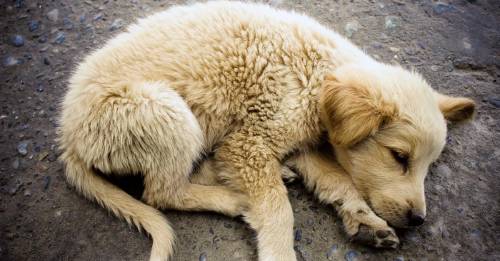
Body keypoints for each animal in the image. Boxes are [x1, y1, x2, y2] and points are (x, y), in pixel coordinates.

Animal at [56, 1, 474, 258]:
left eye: (428, 166)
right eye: (399, 157)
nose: (419, 220)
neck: (318, 76)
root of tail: (68, 136)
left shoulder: (297, 142)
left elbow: (339, 180)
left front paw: (363, 219)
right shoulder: (250, 142)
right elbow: (278, 212)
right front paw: (279, 250)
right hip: (163, 110)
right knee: (161, 191)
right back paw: (233, 199)